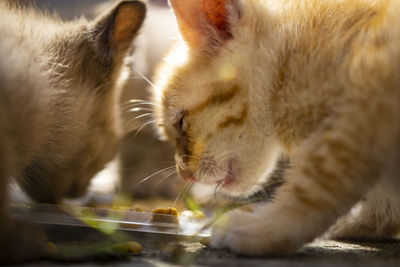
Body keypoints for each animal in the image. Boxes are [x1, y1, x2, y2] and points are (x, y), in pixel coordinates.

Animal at [153, 0, 400, 255]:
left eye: (181, 122)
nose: (184, 175)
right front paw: (367, 220)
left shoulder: (366, 101)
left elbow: (321, 181)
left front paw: (266, 227)